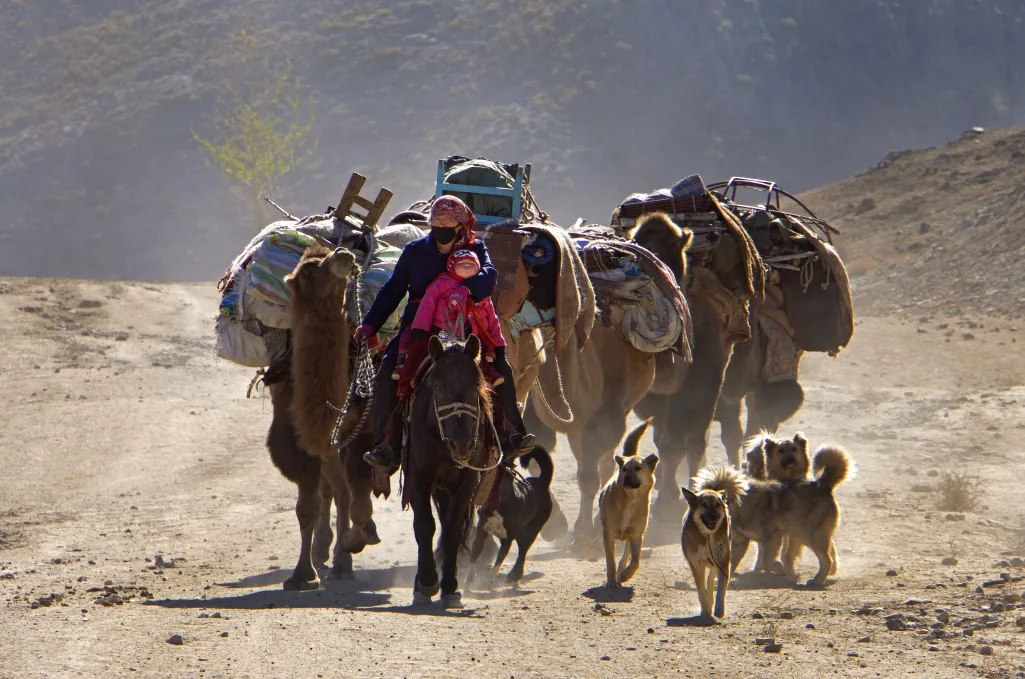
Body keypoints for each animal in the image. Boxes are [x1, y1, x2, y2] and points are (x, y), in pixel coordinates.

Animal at [264, 246, 377, 590]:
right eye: (308, 271)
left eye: (327, 255)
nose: (343, 254)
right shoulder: (298, 442)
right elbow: (307, 508)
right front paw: (301, 573)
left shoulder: (358, 434)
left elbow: (352, 499)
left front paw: (347, 554)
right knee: (330, 491)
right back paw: (323, 549)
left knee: (345, 493)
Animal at [469, 447, 557, 586]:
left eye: (500, 483)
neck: (498, 508)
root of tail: (542, 481)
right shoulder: (481, 532)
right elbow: (475, 553)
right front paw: (470, 577)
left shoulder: (507, 540)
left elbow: (498, 561)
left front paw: (490, 579)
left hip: (529, 532)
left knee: (522, 552)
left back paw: (514, 575)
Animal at [598, 420, 660, 590]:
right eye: (624, 469)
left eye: (638, 468)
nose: (626, 480)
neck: (630, 500)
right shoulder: (608, 533)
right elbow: (610, 560)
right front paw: (611, 580)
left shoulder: (636, 535)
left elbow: (635, 561)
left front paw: (625, 575)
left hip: (629, 537)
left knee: (626, 555)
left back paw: (622, 573)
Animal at [684, 467, 750, 623]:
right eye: (704, 505)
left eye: (717, 505)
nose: (714, 517)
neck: (707, 537)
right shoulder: (696, 565)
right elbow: (700, 589)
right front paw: (706, 609)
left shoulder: (723, 563)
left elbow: (720, 589)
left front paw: (719, 610)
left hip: (717, 562)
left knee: (711, 580)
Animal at [733, 445, 852, 586]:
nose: (744, 464)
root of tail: (822, 485)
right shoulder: (741, 540)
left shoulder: (773, 536)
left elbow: (768, 561)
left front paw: (782, 569)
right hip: (805, 534)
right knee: (829, 552)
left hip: (809, 535)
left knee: (826, 560)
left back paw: (817, 580)